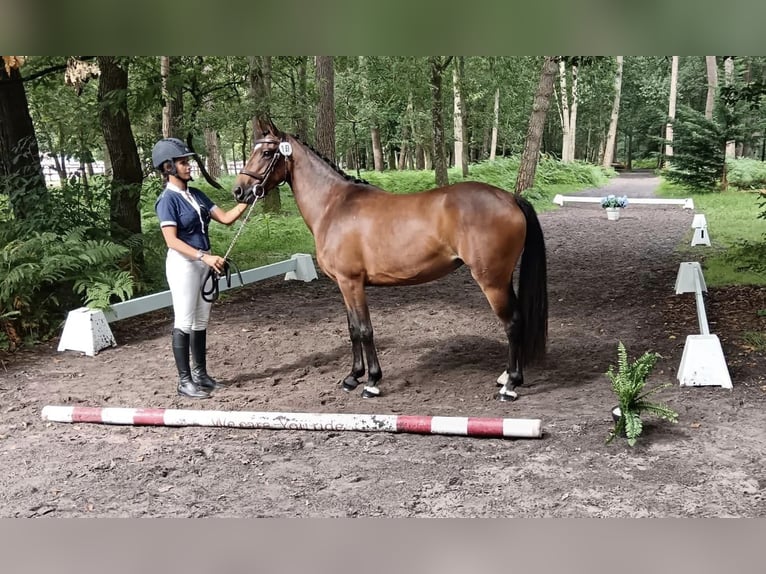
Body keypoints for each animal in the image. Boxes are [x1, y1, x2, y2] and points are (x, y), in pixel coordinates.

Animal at [231, 119, 548, 402]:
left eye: (267, 152)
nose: (239, 191)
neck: (334, 205)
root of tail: (510, 198)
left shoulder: (352, 283)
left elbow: (365, 329)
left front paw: (371, 382)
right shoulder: (343, 286)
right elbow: (352, 330)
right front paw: (352, 377)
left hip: (492, 281)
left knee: (513, 323)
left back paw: (511, 385)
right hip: (501, 279)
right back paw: (506, 377)